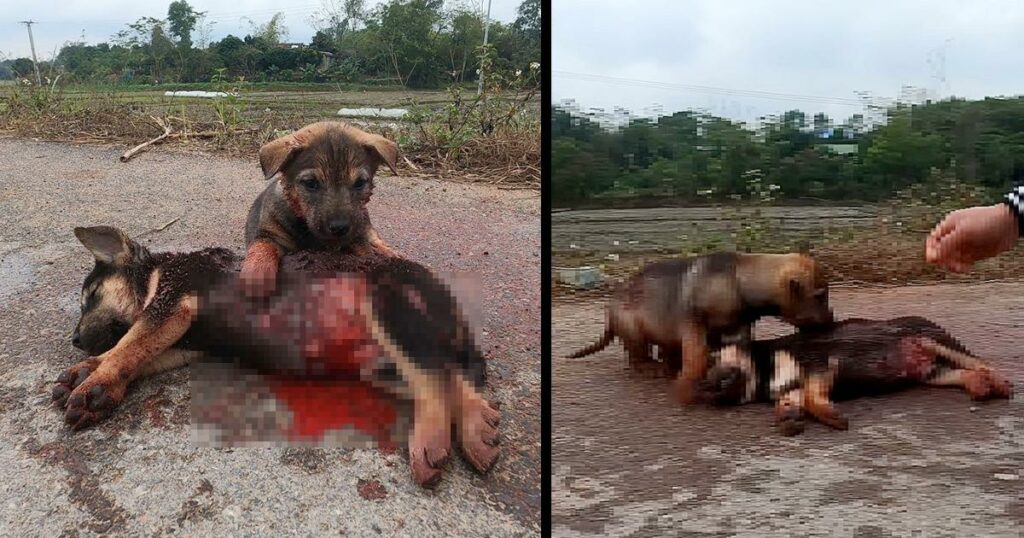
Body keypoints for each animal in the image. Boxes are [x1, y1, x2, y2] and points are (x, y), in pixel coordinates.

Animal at [55, 224, 499, 483]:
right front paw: (86, 371)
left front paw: (94, 388)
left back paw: (431, 442)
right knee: (450, 375)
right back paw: (479, 429)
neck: (153, 272)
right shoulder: (185, 341)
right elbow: (134, 352)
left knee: (435, 377)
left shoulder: (172, 304)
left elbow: (127, 346)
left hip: (386, 304)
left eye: (90, 297)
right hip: (381, 364)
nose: (74, 339)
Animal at [241, 120, 401, 295]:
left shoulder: (357, 240)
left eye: (359, 183)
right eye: (311, 183)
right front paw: (255, 276)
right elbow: (261, 250)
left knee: (374, 237)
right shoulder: (269, 235)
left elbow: (366, 254)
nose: (340, 228)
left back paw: (391, 254)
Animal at [569, 252, 831, 401]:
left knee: (665, 353)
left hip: (663, 337)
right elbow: (696, 354)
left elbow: (738, 348)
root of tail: (610, 308)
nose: (831, 320)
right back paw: (653, 369)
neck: (742, 280)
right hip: (633, 331)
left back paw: (669, 368)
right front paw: (687, 388)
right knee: (637, 356)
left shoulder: (740, 326)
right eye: (820, 295)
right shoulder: (692, 322)